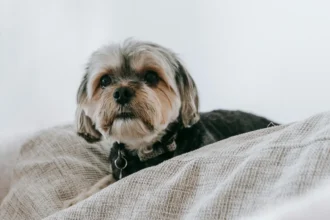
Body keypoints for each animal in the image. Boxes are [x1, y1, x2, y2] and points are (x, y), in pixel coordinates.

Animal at [63, 40, 278, 208]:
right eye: (105, 81)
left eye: (151, 76)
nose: (122, 92)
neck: (145, 148)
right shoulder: (118, 172)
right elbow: (103, 181)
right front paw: (79, 198)